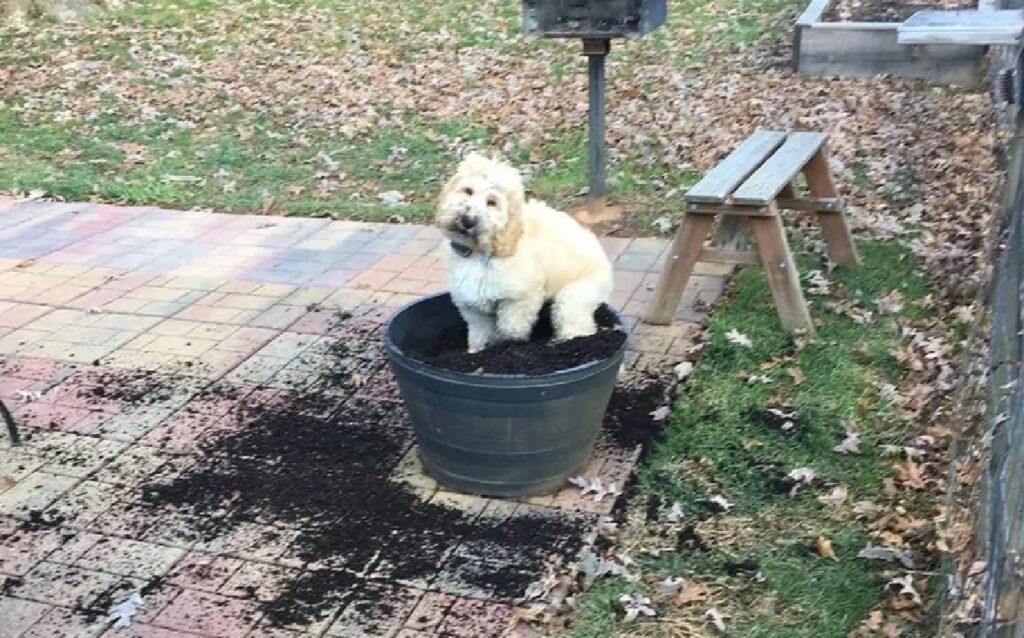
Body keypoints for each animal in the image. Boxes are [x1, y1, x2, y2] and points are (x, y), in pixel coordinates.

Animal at [436, 154, 610, 354]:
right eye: (468, 191)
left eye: (492, 203)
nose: (468, 220)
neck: (479, 252)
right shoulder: (472, 306)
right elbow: (479, 333)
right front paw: (476, 351)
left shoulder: (521, 299)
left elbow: (510, 328)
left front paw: (505, 345)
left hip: (576, 295)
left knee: (577, 324)